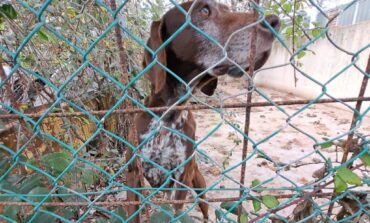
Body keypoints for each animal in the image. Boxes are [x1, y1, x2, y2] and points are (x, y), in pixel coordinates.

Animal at [134, 0, 278, 220]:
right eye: (204, 10)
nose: (274, 22)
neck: (169, 115)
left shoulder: (181, 178)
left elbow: (176, 209)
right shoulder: (135, 175)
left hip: (198, 185)